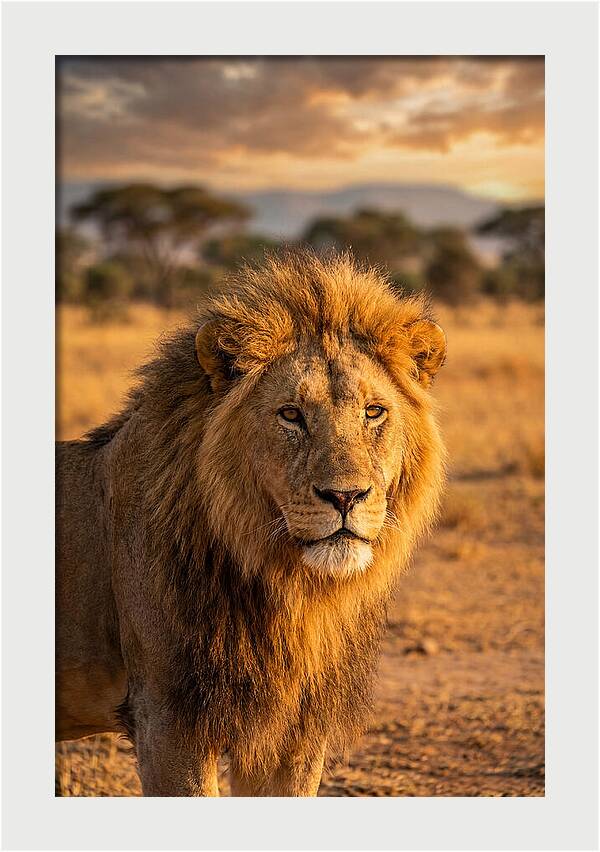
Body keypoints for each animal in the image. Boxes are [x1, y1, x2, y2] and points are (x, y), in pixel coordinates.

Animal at [56, 251, 447, 796]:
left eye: (374, 412)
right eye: (291, 414)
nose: (345, 496)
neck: (290, 590)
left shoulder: (294, 731)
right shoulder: (167, 720)